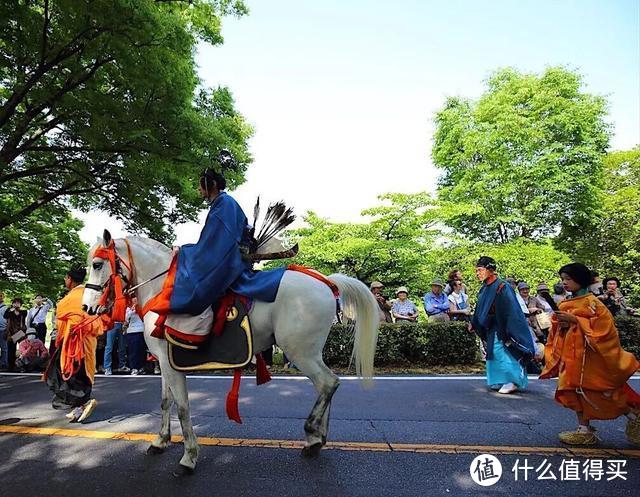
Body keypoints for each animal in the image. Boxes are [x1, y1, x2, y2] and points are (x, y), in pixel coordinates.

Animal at [82, 232, 378, 472]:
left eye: (97, 265)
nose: (86, 308)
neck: (162, 291)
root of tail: (326, 282)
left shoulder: (169, 363)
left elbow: (183, 407)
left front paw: (189, 457)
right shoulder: (163, 363)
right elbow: (166, 403)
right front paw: (160, 441)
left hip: (299, 351)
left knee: (328, 383)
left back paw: (312, 434)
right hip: (311, 352)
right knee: (327, 385)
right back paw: (317, 437)